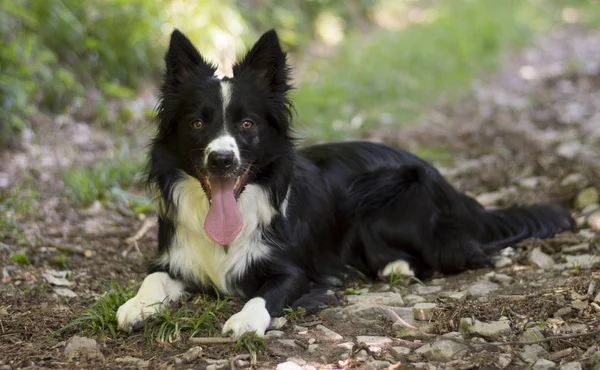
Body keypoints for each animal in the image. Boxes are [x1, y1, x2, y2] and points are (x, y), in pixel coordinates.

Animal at [116, 29, 572, 338]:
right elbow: (152, 278)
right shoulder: (174, 258)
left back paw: (395, 266)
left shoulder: (296, 270)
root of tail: (457, 195)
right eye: (197, 123)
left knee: (463, 253)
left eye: (247, 125)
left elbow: (267, 293)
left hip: (384, 191)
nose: (223, 160)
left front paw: (245, 318)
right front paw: (136, 305)